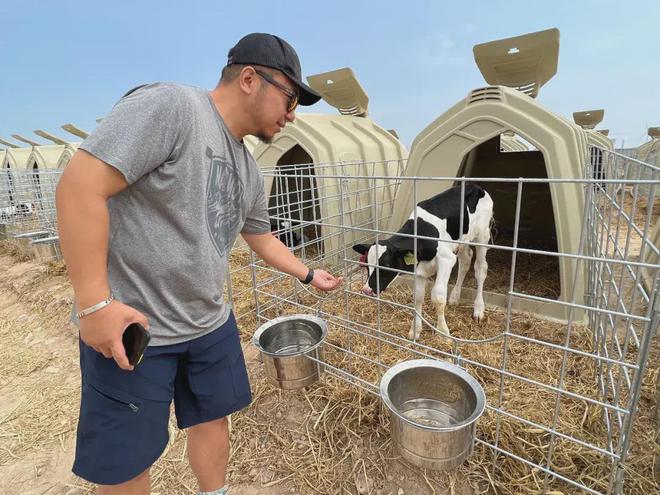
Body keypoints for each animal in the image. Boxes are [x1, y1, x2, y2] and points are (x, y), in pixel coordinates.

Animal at [354, 184, 492, 340]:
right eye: (366, 265)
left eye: (387, 265)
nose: (366, 289)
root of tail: (474, 186)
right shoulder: (420, 269)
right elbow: (418, 297)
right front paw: (415, 330)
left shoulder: (446, 259)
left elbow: (438, 296)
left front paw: (443, 332)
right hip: (463, 239)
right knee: (466, 260)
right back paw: (455, 297)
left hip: (483, 234)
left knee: (480, 268)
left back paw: (479, 309)